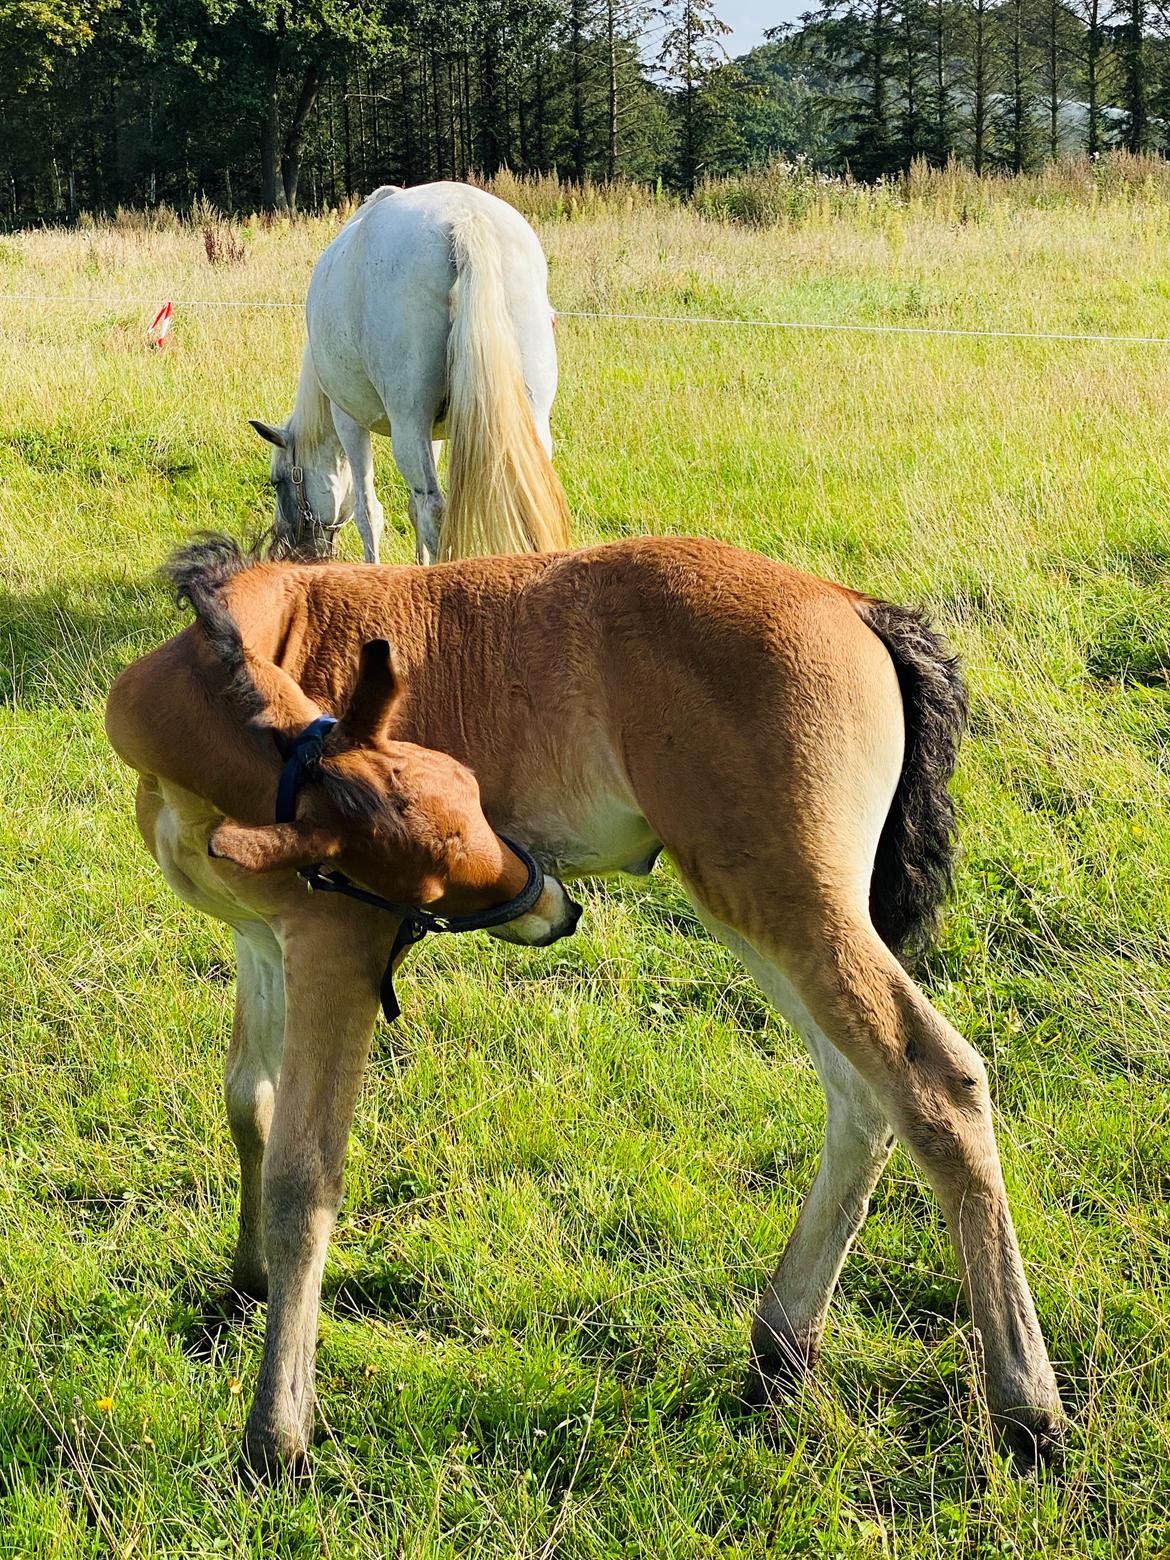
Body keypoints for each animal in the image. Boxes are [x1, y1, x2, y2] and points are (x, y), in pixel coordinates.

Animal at [252, 180, 574, 567]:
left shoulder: (349, 422)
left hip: (407, 426)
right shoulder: (432, 434)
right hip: (528, 420)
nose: (289, 553)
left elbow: (368, 512)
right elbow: (411, 508)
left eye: (278, 482)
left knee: (434, 510)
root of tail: (464, 220)